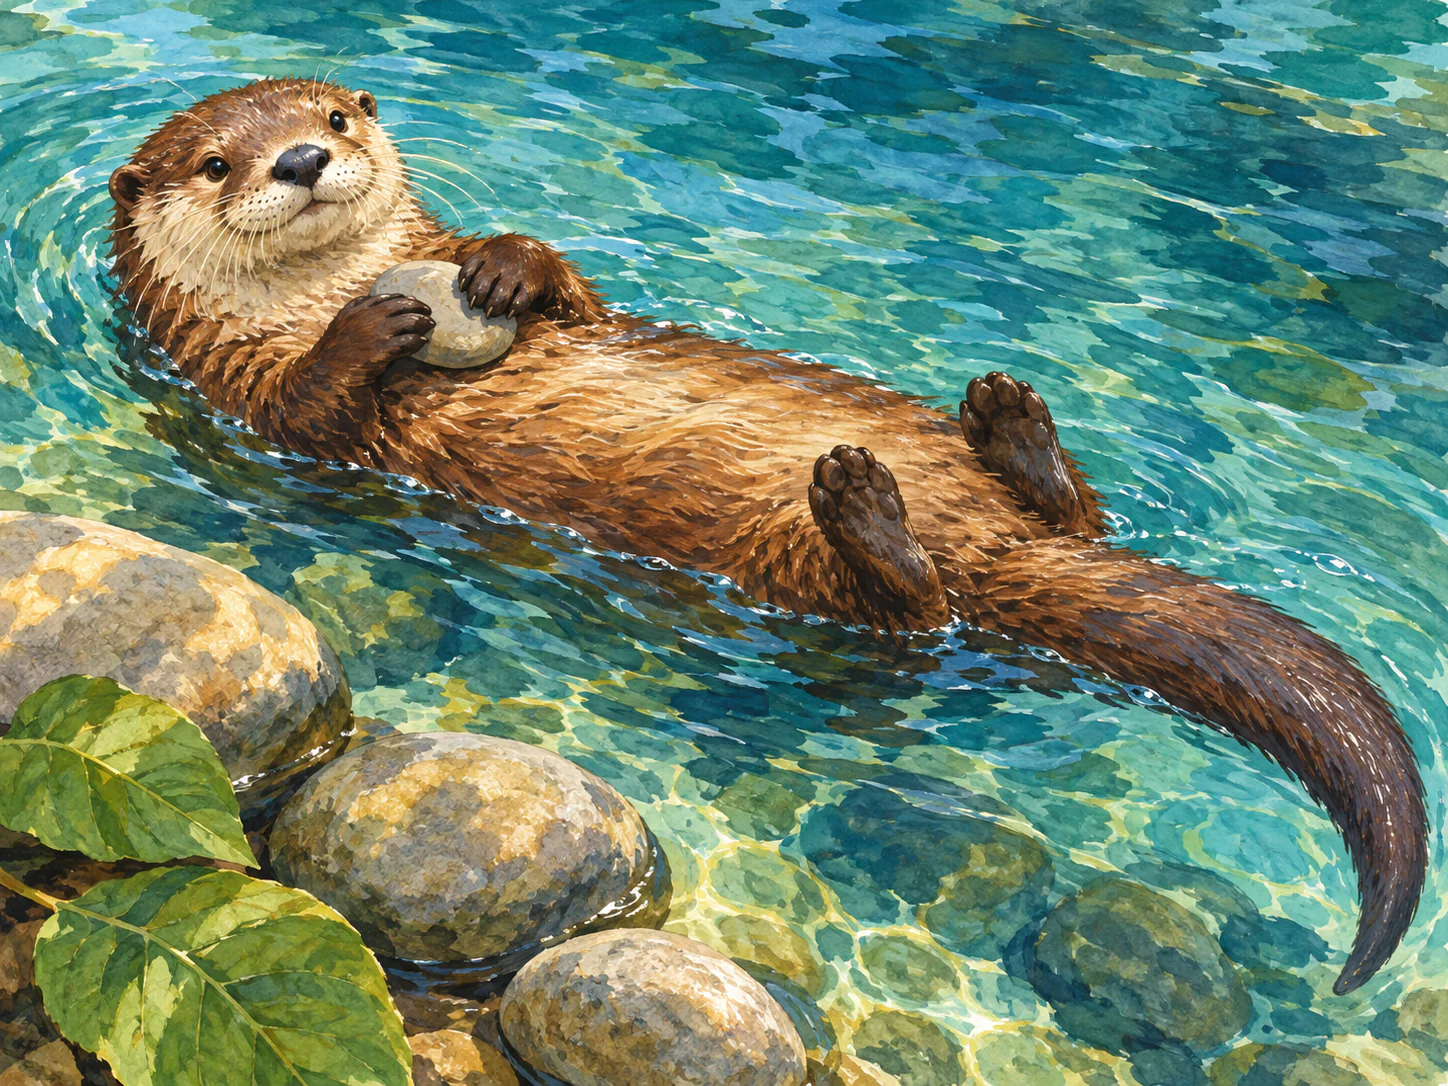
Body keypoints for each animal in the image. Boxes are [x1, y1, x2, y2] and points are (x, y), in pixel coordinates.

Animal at [108, 77, 1426, 995]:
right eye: (220, 162)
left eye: (333, 114)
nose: (302, 157)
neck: (324, 287)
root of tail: (999, 556)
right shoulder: (238, 389)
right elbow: (314, 404)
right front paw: (374, 330)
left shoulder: (559, 309)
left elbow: (573, 294)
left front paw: (500, 264)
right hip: (800, 579)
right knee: (916, 611)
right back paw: (867, 508)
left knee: (1062, 521)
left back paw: (1006, 422)